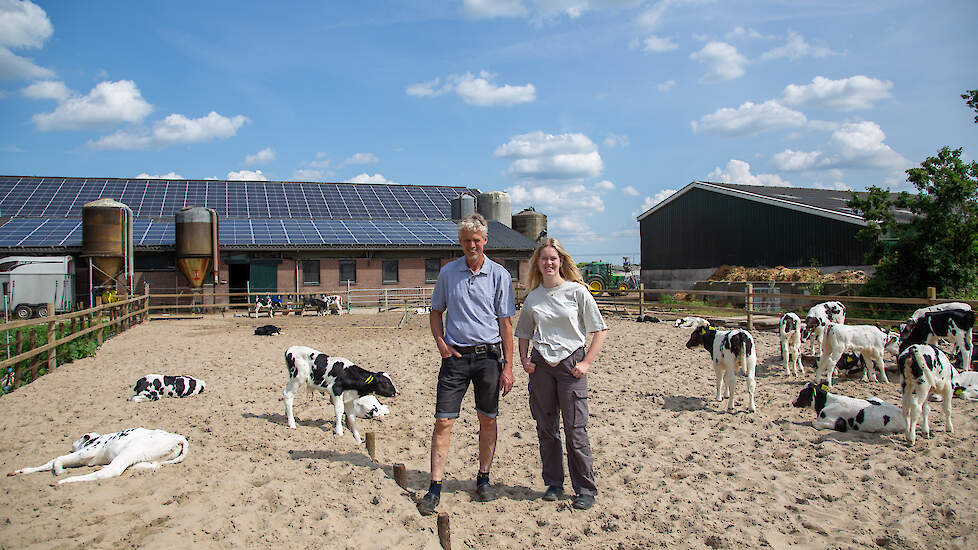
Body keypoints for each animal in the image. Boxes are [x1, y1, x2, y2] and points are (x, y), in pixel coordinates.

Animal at [7, 430, 187, 486]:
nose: (72, 445)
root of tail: (178, 438)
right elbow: (49, 462)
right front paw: (20, 471)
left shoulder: (85, 453)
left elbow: (57, 459)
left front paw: (59, 472)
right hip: (146, 458)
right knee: (152, 465)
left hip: (130, 451)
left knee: (110, 472)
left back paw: (61, 482)